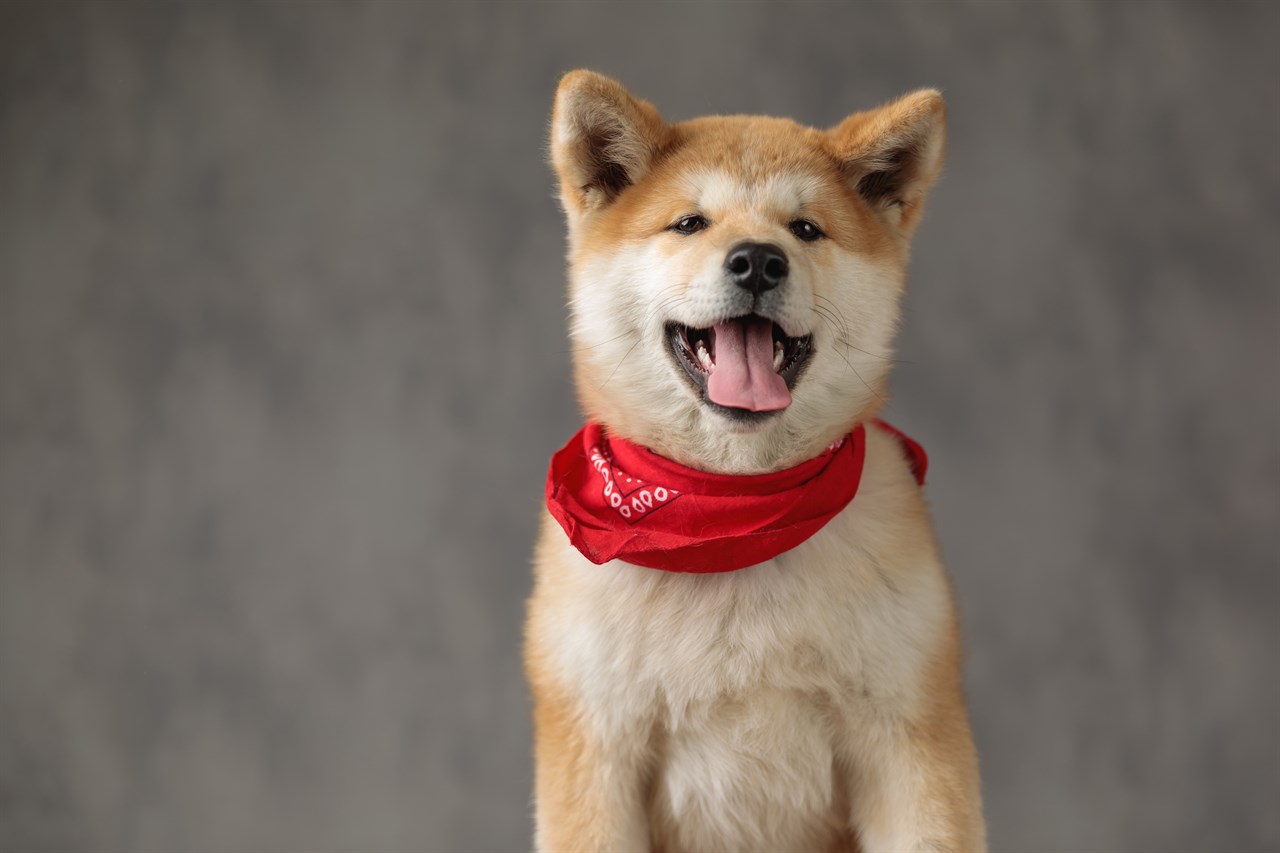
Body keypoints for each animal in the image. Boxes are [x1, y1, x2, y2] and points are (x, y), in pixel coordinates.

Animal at [524, 71, 983, 850]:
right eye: (689, 224)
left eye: (805, 229)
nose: (758, 260)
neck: (731, 519)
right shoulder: (595, 748)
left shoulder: (911, 739)